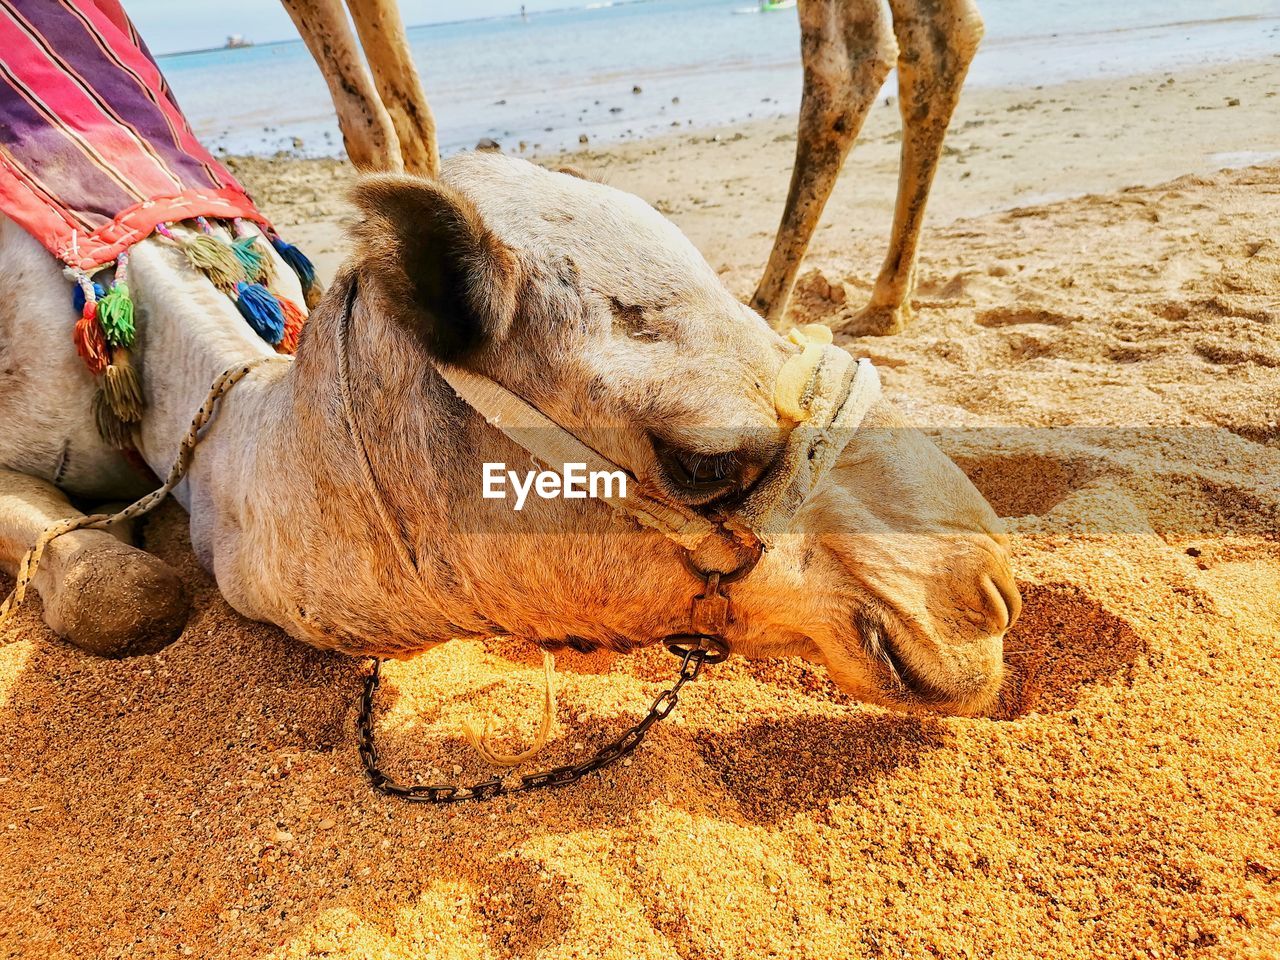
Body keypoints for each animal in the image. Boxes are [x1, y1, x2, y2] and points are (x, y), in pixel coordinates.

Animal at [280, 0, 977, 335]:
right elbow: (407, 106)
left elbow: (367, 116)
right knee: (935, 36)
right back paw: (880, 303)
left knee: (849, 55)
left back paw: (773, 307)